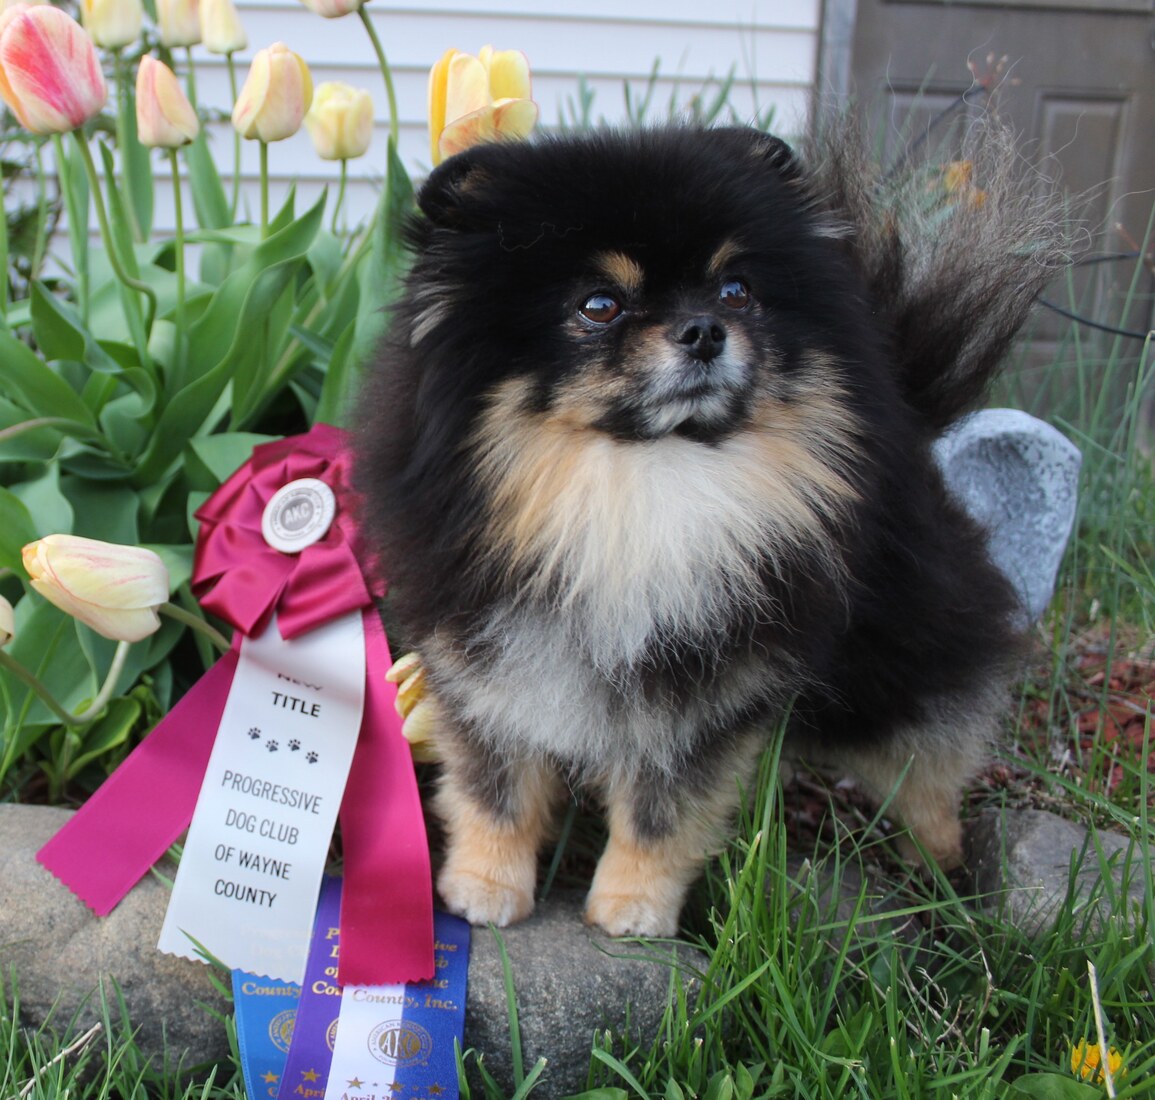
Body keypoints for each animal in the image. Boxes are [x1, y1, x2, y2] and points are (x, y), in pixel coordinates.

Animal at [353, 120, 1070, 936]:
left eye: (736, 291)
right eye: (599, 305)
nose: (703, 329)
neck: (641, 492)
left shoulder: (710, 690)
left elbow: (662, 811)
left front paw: (631, 910)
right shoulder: (487, 657)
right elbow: (493, 787)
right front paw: (483, 889)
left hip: (898, 656)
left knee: (927, 759)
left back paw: (939, 870)